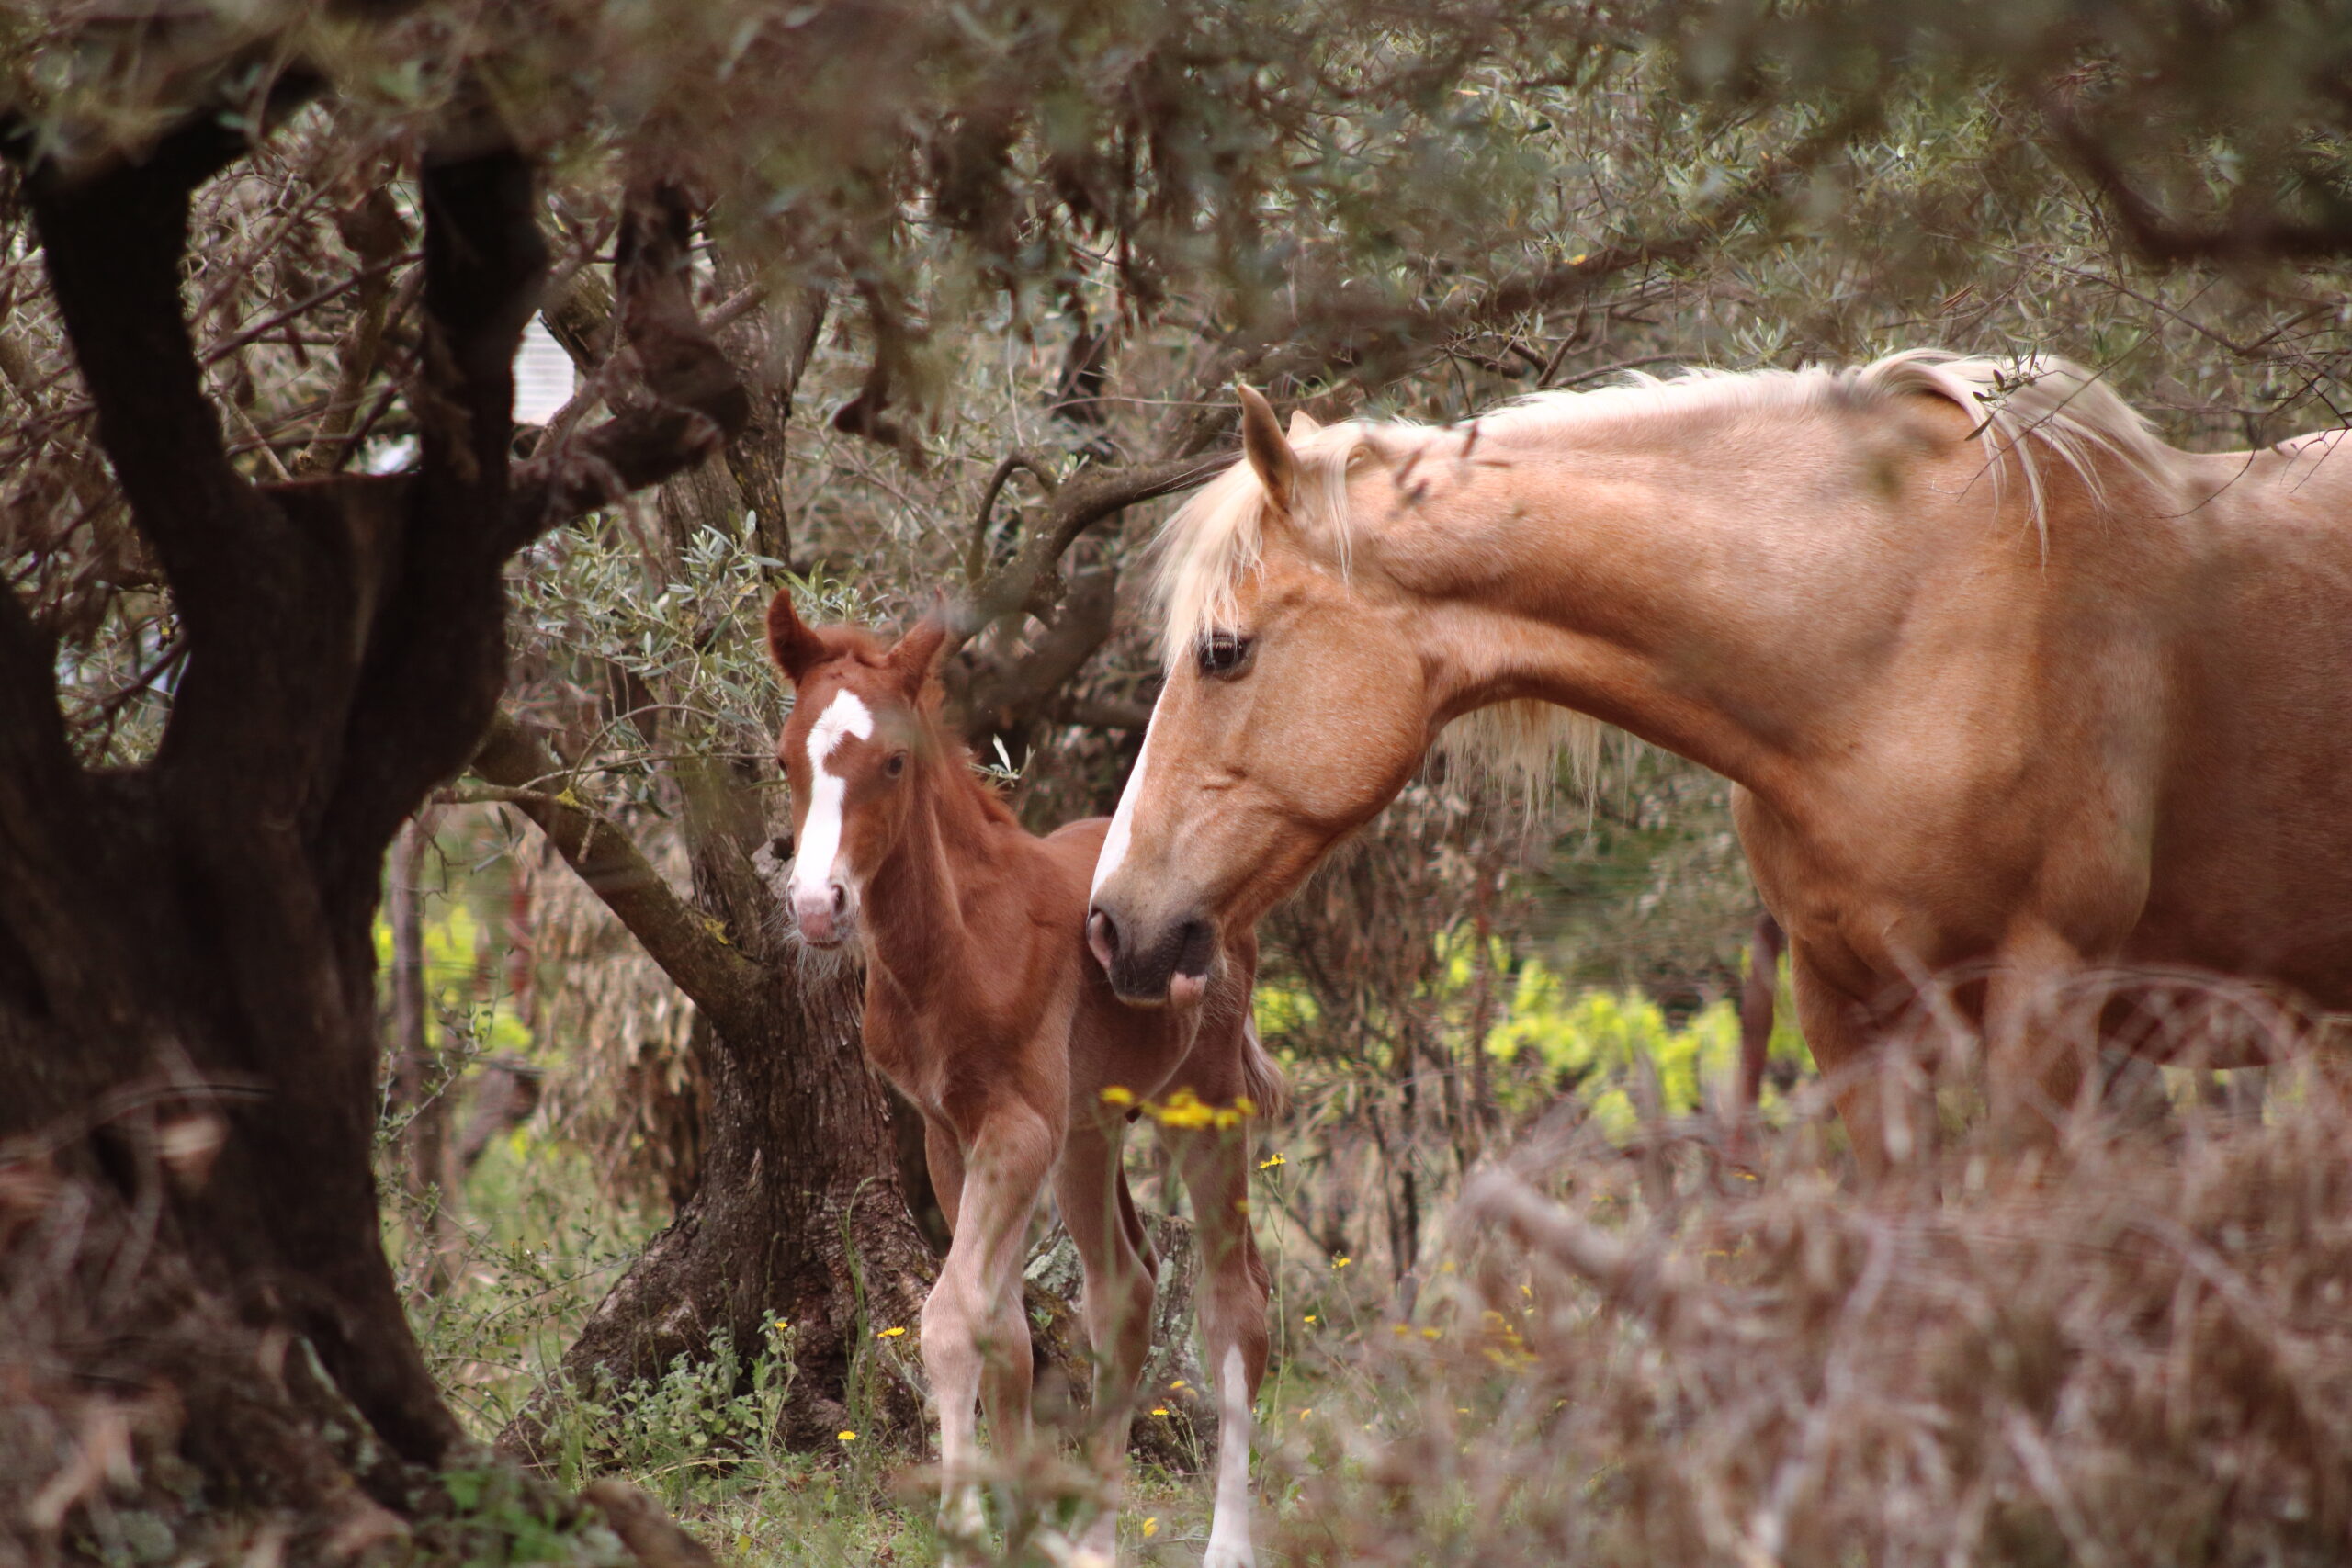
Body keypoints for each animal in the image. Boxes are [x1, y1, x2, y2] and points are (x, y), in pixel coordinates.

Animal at [766, 594, 1288, 1561]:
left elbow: (949, 1318)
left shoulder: (1016, 1128)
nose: (818, 906)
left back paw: (1226, 1543)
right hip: (1088, 1129)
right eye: (786, 758)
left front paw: (964, 1521)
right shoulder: (951, 1132)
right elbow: (1000, 1329)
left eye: (894, 761)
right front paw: (1010, 1521)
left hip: (1200, 1099)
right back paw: (1096, 1536)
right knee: (1127, 1290)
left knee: (1236, 1303)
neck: (959, 948)